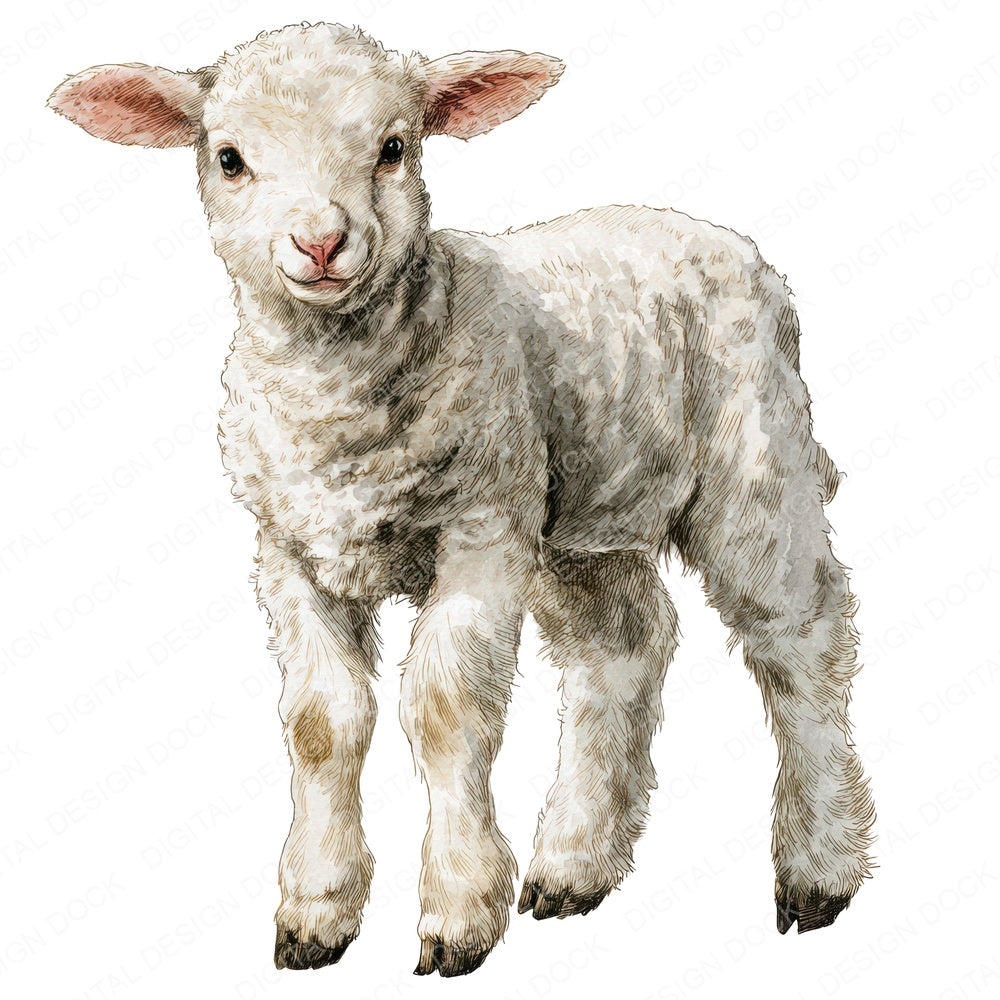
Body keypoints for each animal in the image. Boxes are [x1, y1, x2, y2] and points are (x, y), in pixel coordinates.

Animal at [49, 21, 875, 978]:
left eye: (393, 147)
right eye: (229, 158)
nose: (321, 243)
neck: (341, 404)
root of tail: (713, 235)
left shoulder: (477, 528)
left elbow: (444, 708)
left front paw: (457, 914)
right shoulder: (289, 548)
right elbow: (321, 722)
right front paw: (316, 911)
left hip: (751, 460)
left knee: (800, 636)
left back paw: (818, 869)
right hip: (573, 513)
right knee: (624, 641)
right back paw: (574, 864)